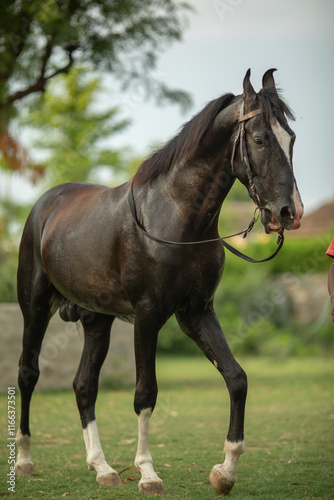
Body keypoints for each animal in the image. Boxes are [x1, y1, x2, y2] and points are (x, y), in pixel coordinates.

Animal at [15, 70, 302, 496]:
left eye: (291, 137)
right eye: (260, 138)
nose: (289, 212)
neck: (174, 216)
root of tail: (45, 205)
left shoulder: (196, 313)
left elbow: (237, 378)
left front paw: (225, 473)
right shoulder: (148, 316)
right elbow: (145, 394)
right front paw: (148, 474)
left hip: (97, 319)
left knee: (84, 385)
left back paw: (102, 468)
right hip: (35, 307)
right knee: (28, 373)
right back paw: (25, 461)